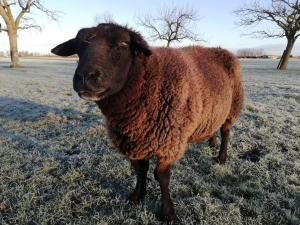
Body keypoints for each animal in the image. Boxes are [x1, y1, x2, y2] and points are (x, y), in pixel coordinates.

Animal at [51, 22, 244, 223]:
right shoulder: (137, 140)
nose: (85, 77)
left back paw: (221, 157)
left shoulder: (169, 142)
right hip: (212, 111)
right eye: (78, 46)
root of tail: (220, 49)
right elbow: (141, 170)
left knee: (226, 131)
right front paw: (137, 196)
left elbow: (161, 177)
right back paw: (211, 142)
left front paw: (167, 212)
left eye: (123, 44)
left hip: (233, 106)